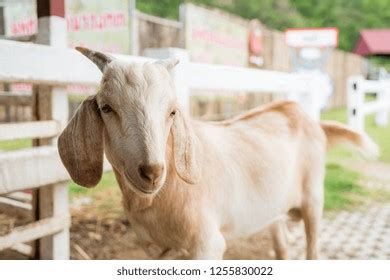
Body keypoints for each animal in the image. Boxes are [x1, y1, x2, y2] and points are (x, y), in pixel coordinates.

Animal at [58, 47, 378, 260]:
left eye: (172, 111)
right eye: (106, 108)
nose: (152, 171)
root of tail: (302, 114)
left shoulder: (207, 246)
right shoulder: (156, 250)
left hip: (314, 200)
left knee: (312, 247)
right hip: (274, 209)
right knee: (282, 245)